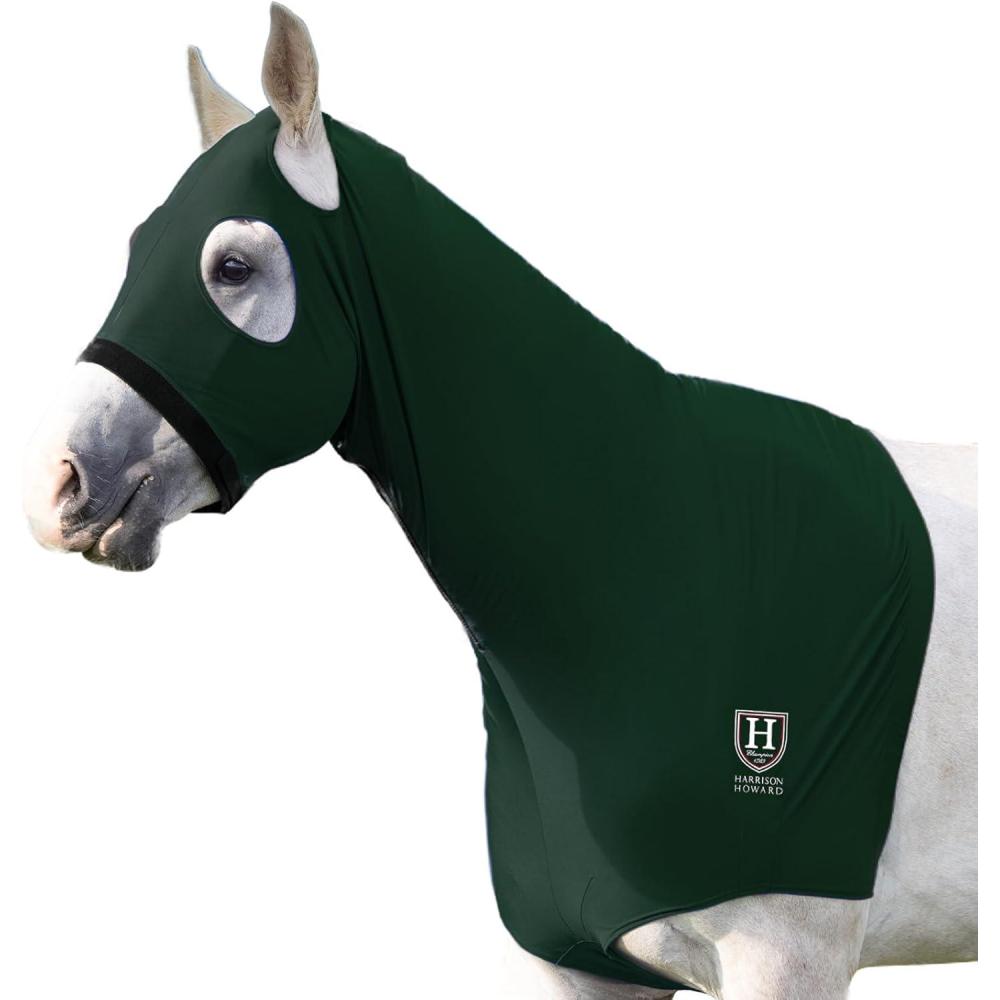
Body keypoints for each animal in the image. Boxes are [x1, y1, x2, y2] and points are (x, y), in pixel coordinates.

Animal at [22, 6, 976, 998]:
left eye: (233, 266)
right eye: (138, 249)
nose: (57, 484)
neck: (658, 560)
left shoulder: (790, 957)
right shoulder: (580, 963)